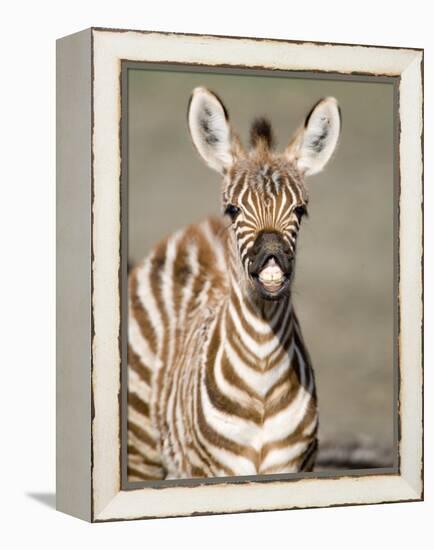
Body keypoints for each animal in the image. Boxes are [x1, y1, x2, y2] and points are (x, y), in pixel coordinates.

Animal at [127, 88, 340, 480]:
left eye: (300, 210)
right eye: (233, 210)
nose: (271, 258)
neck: (262, 373)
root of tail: (196, 228)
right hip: (142, 449)